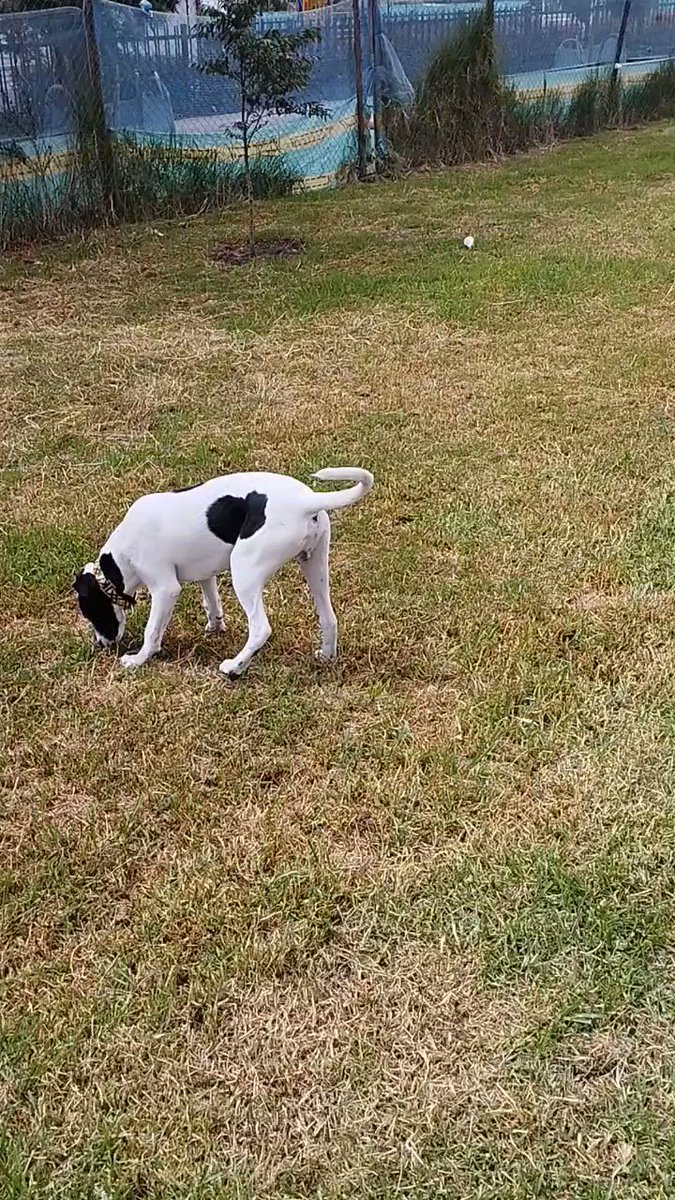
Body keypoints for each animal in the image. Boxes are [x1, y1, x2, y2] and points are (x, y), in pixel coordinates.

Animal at [73, 465, 372, 676]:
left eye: (90, 612)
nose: (102, 645)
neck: (121, 555)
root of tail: (305, 501)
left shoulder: (165, 589)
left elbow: (152, 630)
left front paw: (139, 659)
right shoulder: (206, 575)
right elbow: (212, 602)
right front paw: (215, 626)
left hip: (245, 571)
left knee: (260, 629)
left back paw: (235, 667)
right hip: (314, 566)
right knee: (329, 618)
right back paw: (327, 656)